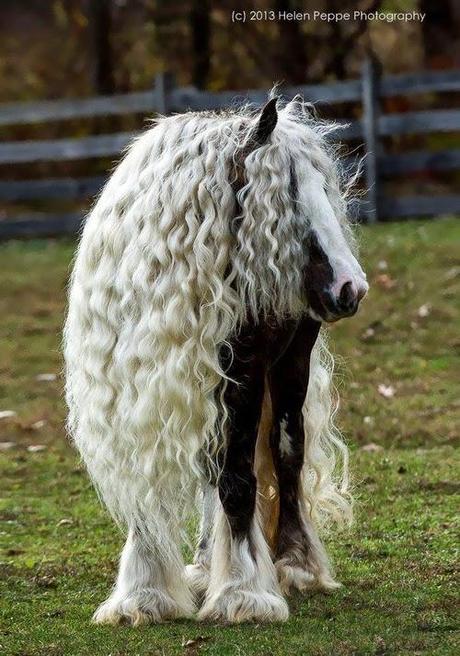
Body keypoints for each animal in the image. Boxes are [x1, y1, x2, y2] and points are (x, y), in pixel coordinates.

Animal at [63, 96, 366, 624]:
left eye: (324, 189)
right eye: (288, 195)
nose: (351, 287)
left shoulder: (242, 373)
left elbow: (240, 479)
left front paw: (243, 591)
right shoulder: (138, 391)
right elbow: (158, 482)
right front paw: (144, 594)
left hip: (289, 365)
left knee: (286, 454)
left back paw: (293, 564)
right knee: (214, 464)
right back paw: (207, 564)